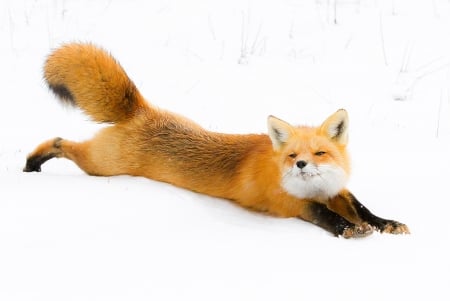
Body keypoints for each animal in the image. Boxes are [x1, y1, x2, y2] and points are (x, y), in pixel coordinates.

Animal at [24, 43, 410, 238]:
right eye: (292, 155)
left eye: (320, 153)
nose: (301, 164)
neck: (312, 188)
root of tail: (141, 110)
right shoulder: (288, 203)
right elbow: (323, 214)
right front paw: (349, 229)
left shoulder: (336, 191)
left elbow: (363, 208)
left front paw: (385, 223)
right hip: (102, 166)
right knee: (60, 141)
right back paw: (32, 162)